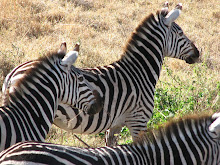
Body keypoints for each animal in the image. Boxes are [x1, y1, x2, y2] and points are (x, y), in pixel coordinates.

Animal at [1, 2, 199, 146]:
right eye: (181, 33)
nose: (198, 53)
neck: (139, 72)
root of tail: (12, 73)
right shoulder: (138, 120)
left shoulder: (116, 125)